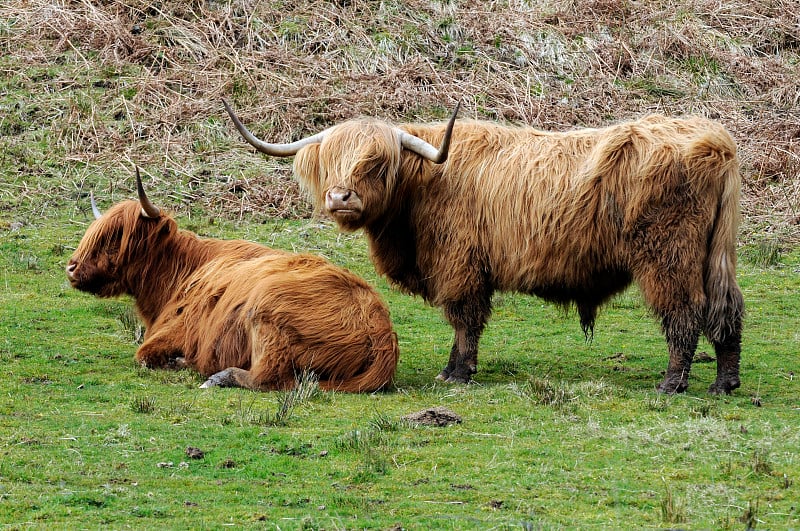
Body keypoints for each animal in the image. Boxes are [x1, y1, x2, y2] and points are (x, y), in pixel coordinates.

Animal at [67, 171, 398, 394]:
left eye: (117, 238)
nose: (72, 268)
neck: (182, 271)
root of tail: (381, 328)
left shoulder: (172, 334)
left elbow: (144, 355)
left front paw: (178, 360)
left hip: (265, 310)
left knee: (267, 378)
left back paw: (215, 376)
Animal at [223, 101, 744, 394]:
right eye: (331, 161)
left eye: (377, 164)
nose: (340, 197)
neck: (423, 185)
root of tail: (716, 141)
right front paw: (453, 369)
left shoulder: (459, 264)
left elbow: (464, 319)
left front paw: (458, 372)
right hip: (714, 255)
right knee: (726, 310)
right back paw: (724, 382)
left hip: (667, 255)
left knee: (684, 313)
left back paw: (671, 383)